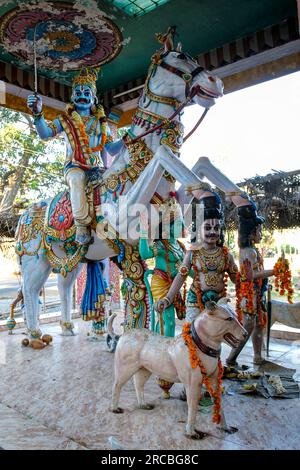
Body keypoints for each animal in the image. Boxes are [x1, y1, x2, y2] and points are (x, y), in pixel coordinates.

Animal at [15, 30, 241, 338]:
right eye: (180, 57)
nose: (215, 82)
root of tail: (24, 214)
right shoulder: (121, 222)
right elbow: (163, 152)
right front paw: (209, 198)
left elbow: (199, 164)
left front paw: (235, 198)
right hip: (35, 258)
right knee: (30, 288)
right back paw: (34, 333)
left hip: (69, 257)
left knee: (63, 283)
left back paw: (67, 327)